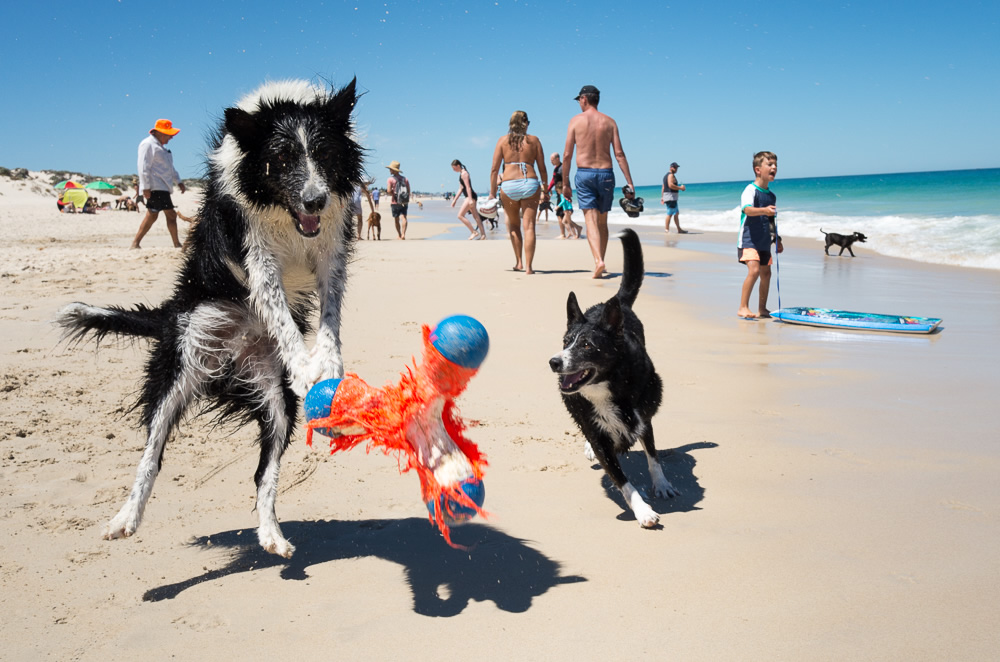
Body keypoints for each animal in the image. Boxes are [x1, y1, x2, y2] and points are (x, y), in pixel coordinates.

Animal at [54, 79, 364, 560]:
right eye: (282, 159)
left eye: (326, 154)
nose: (314, 199)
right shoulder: (255, 250)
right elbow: (280, 312)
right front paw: (306, 368)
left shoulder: (331, 249)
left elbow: (329, 314)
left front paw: (328, 365)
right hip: (182, 360)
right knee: (152, 453)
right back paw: (126, 517)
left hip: (274, 399)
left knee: (264, 473)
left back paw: (272, 535)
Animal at [548, 228, 680, 528]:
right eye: (565, 342)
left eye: (587, 346)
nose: (554, 362)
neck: (608, 387)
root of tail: (615, 304)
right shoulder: (599, 437)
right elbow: (622, 480)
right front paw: (642, 510)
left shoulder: (643, 418)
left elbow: (653, 456)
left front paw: (662, 484)